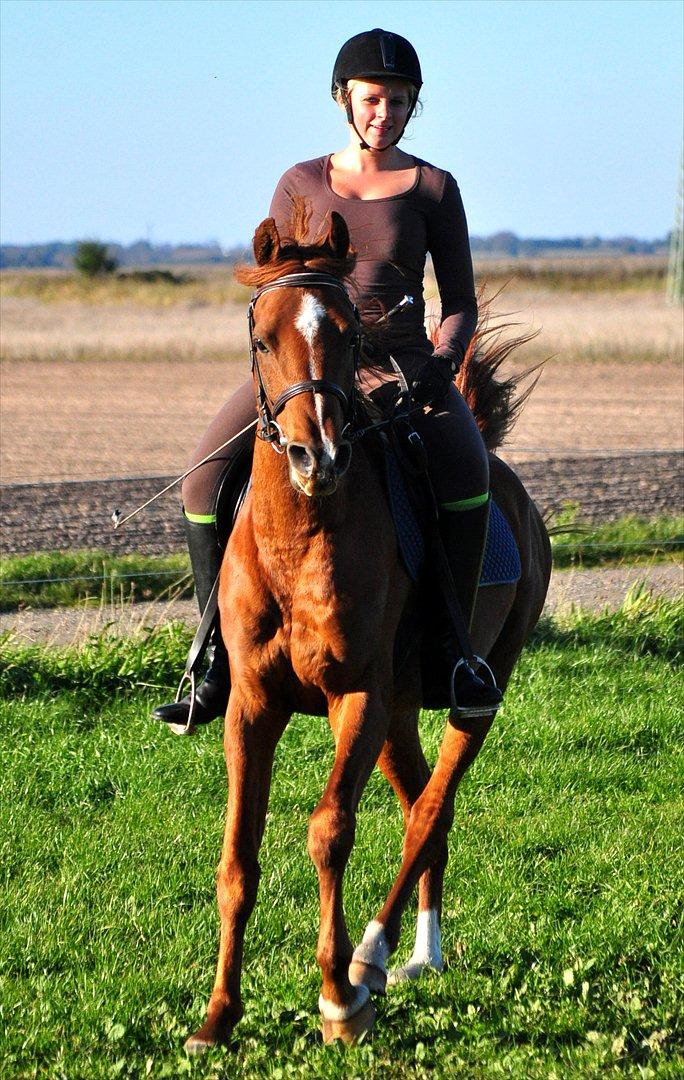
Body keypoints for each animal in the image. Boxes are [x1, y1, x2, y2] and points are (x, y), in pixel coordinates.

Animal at [183, 206, 553, 1049]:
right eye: (263, 337)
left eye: (352, 336)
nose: (314, 453)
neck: (300, 538)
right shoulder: (252, 705)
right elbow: (237, 857)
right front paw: (218, 1016)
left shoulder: (357, 698)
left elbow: (328, 831)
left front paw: (337, 1000)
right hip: (399, 715)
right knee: (423, 810)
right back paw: (420, 956)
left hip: (468, 696)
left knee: (430, 811)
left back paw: (373, 959)